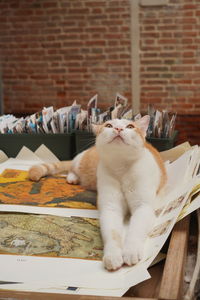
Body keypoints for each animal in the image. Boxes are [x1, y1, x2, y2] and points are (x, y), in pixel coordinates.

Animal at [28, 116, 166, 270]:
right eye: (109, 125)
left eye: (130, 126)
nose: (118, 128)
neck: (121, 168)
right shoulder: (110, 208)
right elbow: (112, 233)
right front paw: (113, 255)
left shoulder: (143, 207)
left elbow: (136, 229)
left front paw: (131, 251)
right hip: (80, 163)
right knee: (71, 168)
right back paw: (73, 178)